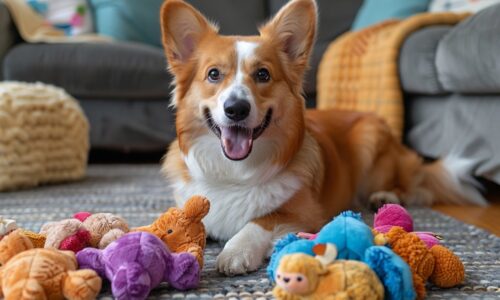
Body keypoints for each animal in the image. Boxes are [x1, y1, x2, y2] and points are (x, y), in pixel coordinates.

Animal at [159, 0, 484, 276]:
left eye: (263, 74)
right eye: (213, 74)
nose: (236, 109)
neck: (234, 174)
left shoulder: (307, 212)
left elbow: (261, 220)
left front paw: (236, 251)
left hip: (371, 141)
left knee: (411, 186)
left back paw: (385, 196)